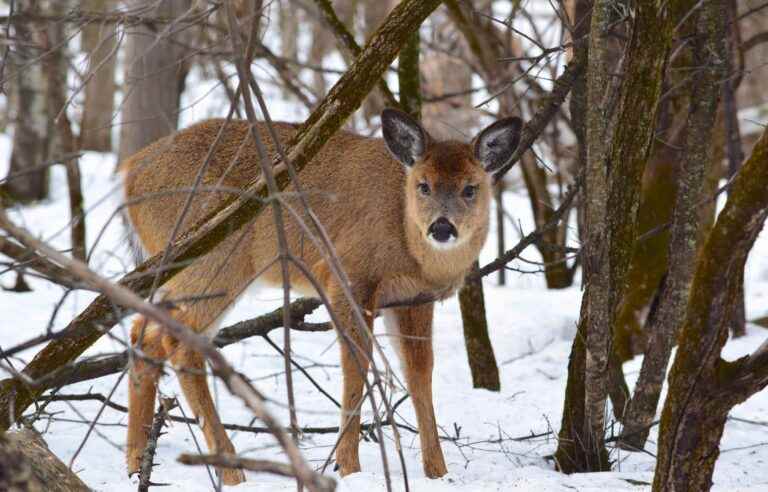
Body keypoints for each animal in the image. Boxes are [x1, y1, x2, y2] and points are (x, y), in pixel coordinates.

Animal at [120, 108, 524, 484]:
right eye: (423, 185)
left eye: (470, 188)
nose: (442, 227)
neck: (406, 240)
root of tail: (130, 172)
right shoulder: (347, 275)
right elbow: (357, 365)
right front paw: (348, 467)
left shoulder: (413, 298)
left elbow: (419, 372)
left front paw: (437, 471)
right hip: (216, 258)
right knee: (179, 342)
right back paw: (230, 471)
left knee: (144, 331)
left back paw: (137, 461)